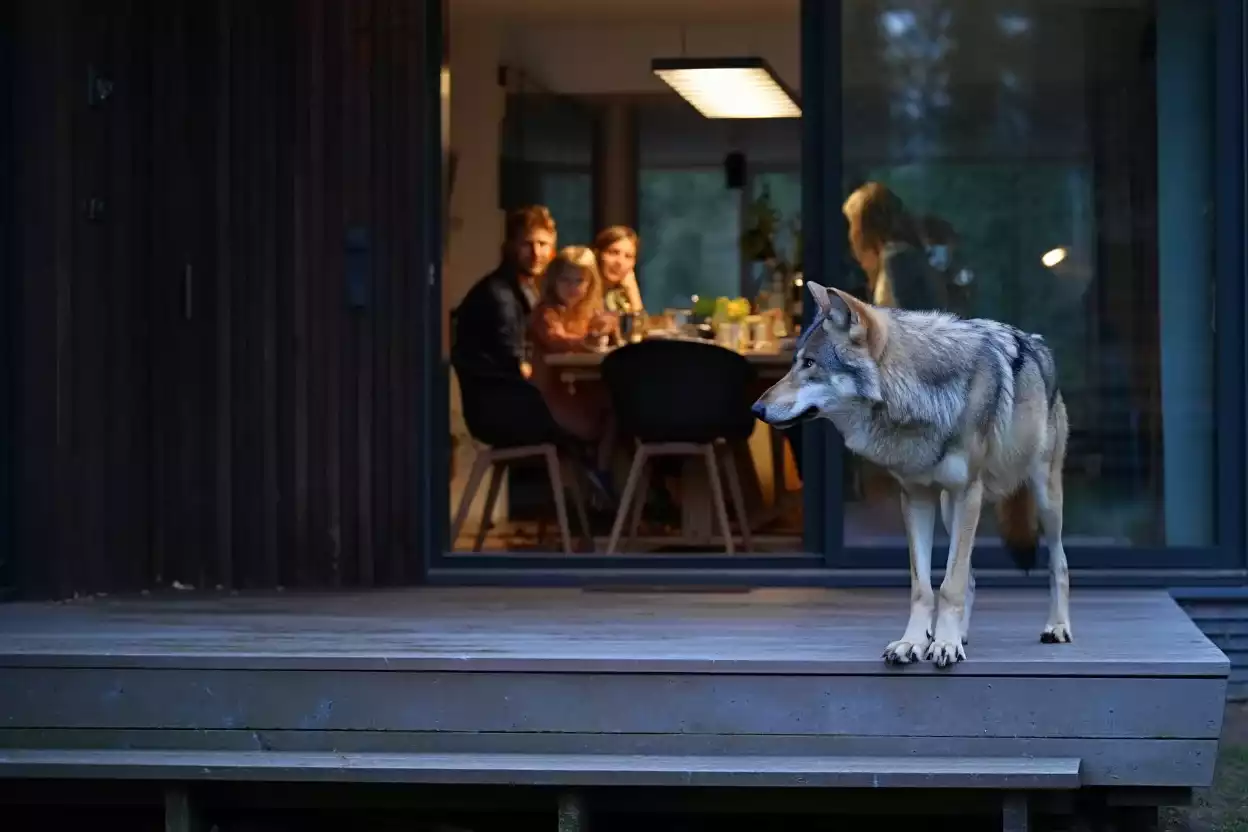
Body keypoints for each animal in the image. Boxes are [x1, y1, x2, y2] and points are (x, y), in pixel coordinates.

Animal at [752, 282, 1072, 668]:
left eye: (810, 364)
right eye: (795, 363)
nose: (755, 408)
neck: (920, 394)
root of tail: (1039, 344)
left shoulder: (968, 493)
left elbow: (949, 584)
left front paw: (944, 644)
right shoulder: (916, 497)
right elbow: (925, 587)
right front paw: (916, 642)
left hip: (1043, 500)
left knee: (1058, 563)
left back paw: (1057, 626)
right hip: (950, 509)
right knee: (970, 577)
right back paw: (960, 635)